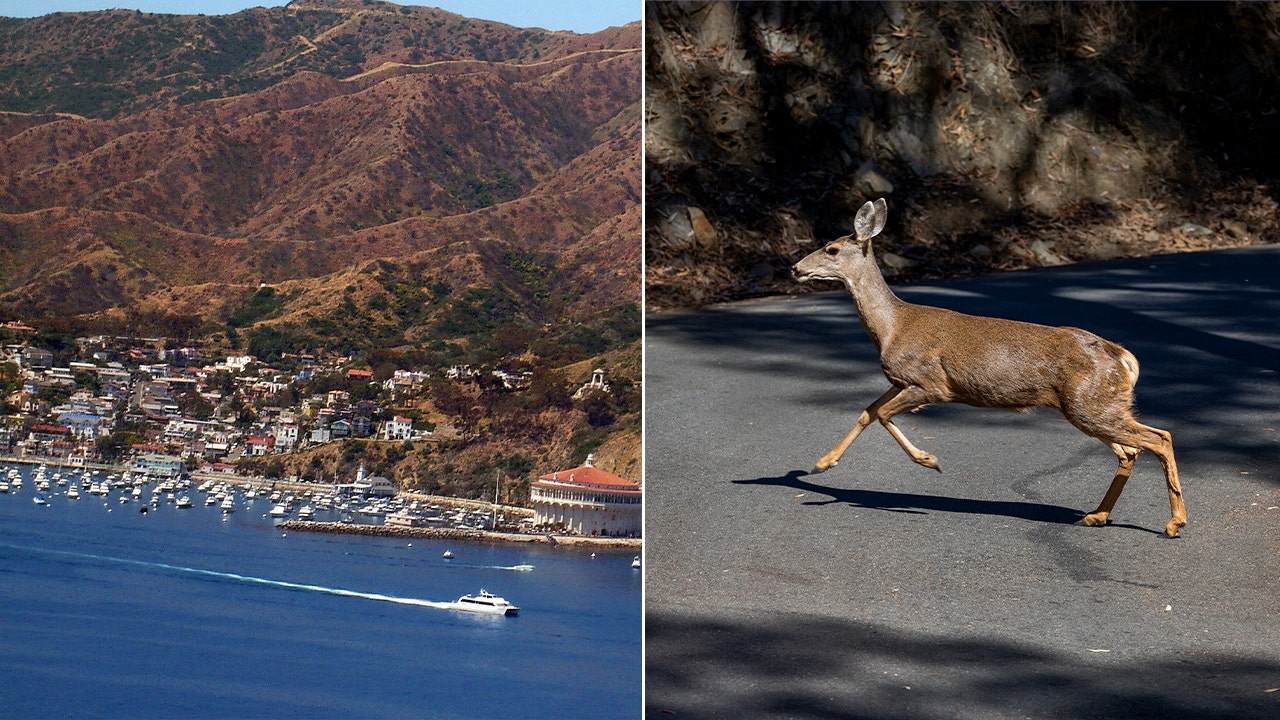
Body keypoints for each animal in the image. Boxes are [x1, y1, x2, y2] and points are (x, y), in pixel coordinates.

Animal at [791, 198, 1186, 537]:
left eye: (831, 249)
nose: (795, 268)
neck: (892, 327)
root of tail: (1121, 355)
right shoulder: (900, 380)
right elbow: (868, 411)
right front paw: (823, 463)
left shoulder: (930, 383)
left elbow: (884, 414)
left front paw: (928, 459)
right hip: (1094, 406)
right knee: (1133, 449)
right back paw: (1096, 516)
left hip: (1090, 404)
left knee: (1158, 438)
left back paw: (1174, 523)